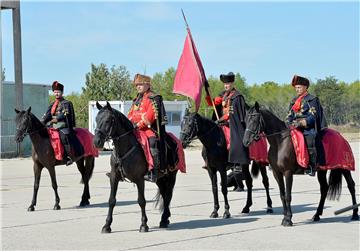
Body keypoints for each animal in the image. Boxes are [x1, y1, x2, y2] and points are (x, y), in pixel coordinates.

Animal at [93, 102, 177, 233]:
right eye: (96, 119)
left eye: (107, 120)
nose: (97, 141)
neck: (124, 149)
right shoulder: (114, 177)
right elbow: (111, 200)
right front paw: (107, 225)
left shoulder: (139, 179)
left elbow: (141, 201)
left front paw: (144, 225)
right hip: (160, 179)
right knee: (164, 194)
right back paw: (165, 218)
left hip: (172, 175)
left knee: (168, 196)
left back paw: (164, 219)